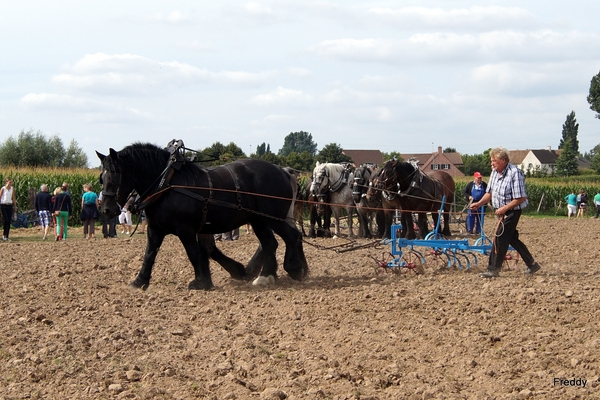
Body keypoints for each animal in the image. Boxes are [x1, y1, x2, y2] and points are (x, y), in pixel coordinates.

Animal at [97, 141, 310, 290]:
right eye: (101, 177)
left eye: (115, 175)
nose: (107, 209)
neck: (166, 183)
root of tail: (283, 171)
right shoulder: (156, 229)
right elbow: (150, 254)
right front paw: (139, 281)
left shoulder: (186, 229)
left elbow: (194, 253)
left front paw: (202, 282)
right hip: (258, 219)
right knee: (269, 243)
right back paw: (265, 276)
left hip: (272, 216)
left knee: (292, 236)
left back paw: (294, 268)